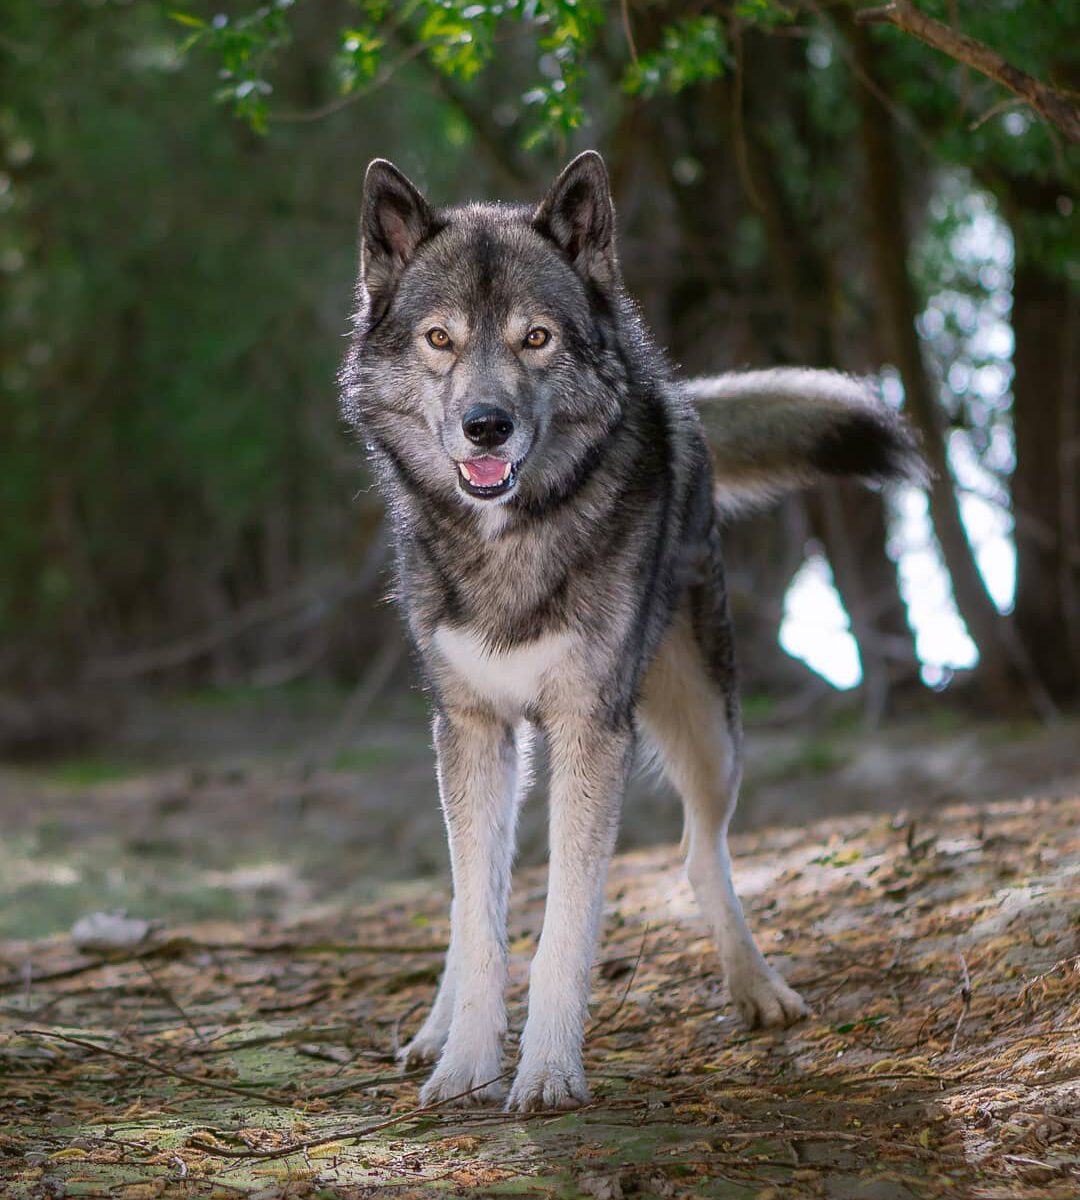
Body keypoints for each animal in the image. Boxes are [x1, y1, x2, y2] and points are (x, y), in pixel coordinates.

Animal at [338, 152, 921, 1113]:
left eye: (536, 338)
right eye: (439, 339)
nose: (485, 426)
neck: (509, 543)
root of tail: (679, 393)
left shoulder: (590, 728)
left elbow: (564, 929)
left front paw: (546, 1072)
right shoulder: (470, 727)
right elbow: (478, 916)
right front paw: (465, 1065)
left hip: (706, 730)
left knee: (698, 853)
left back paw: (757, 988)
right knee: (472, 895)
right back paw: (433, 1031)